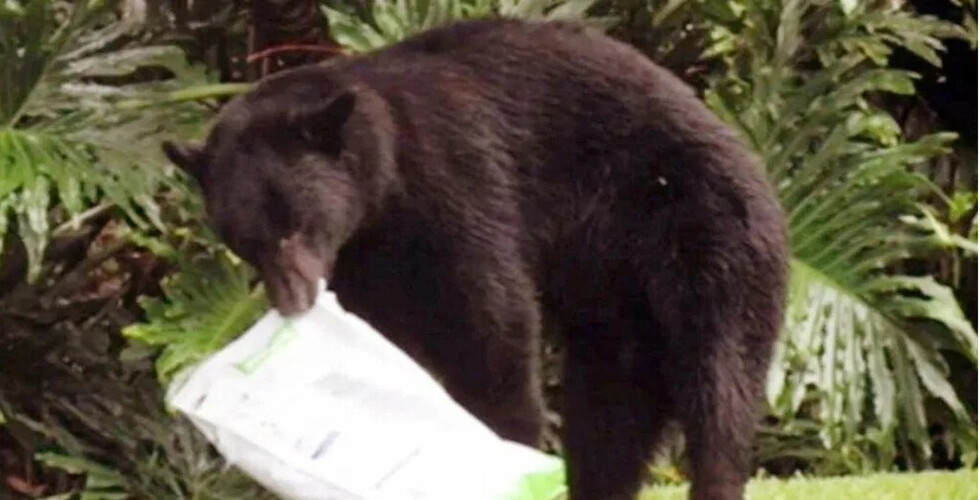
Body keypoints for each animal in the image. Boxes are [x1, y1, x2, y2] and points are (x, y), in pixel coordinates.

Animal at [162, 18, 788, 500]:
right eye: (243, 241)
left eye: (294, 225)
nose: (293, 301)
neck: (386, 188)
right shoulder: (369, 262)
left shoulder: (459, 184)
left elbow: (491, 323)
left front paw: (503, 441)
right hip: (619, 307)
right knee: (609, 414)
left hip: (708, 240)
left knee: (720, 384)